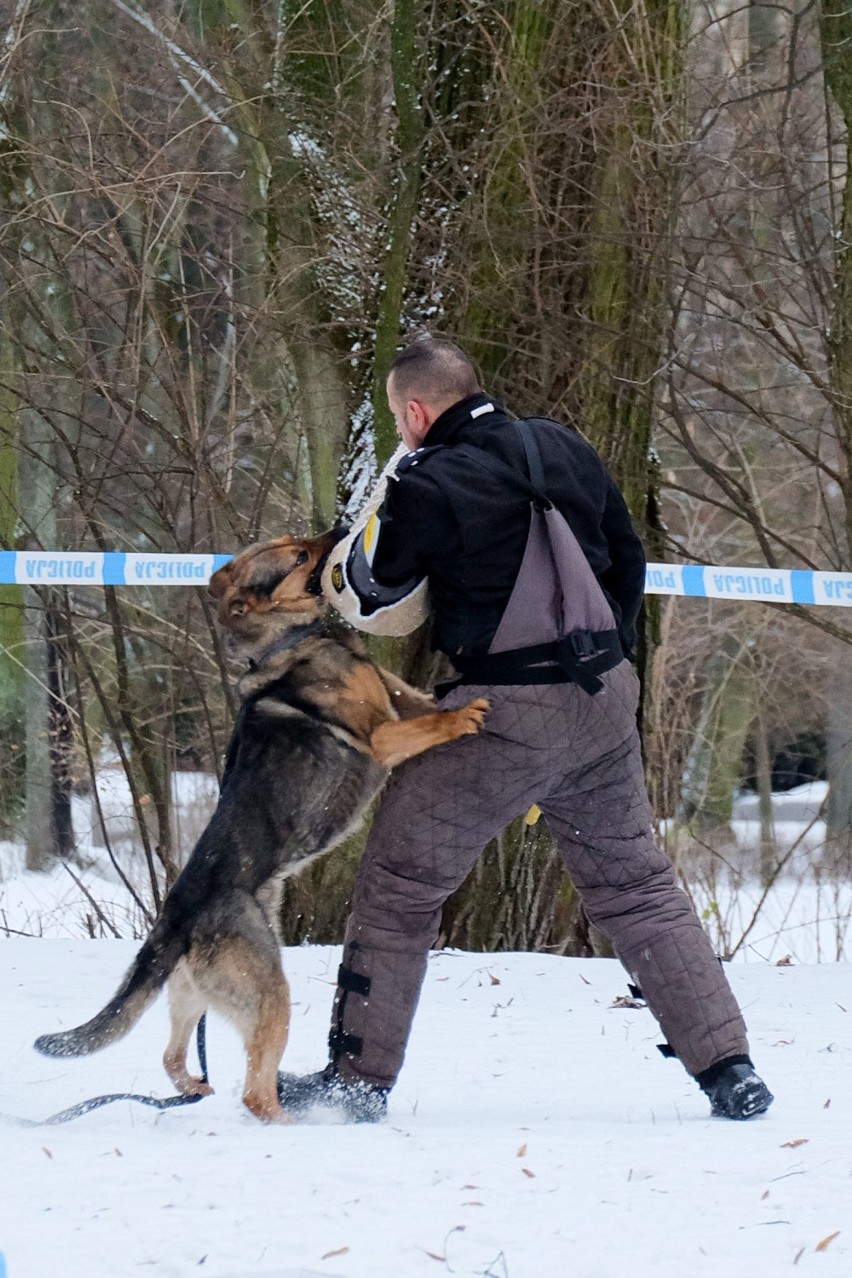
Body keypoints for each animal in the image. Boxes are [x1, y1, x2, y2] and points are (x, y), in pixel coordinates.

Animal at [34, 529, 485, 1119]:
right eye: (298, 555)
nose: (339, 530)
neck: (287, 641)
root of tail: (176, 920)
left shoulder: (399, 699)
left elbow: (424, 702)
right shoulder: (385, 736)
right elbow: (434, 721)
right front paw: (463, 716)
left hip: (196, 997)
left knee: (174, 1058)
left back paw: (197, 1089)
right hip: (270, 996)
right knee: (254, 1092)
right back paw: (287, 1121)